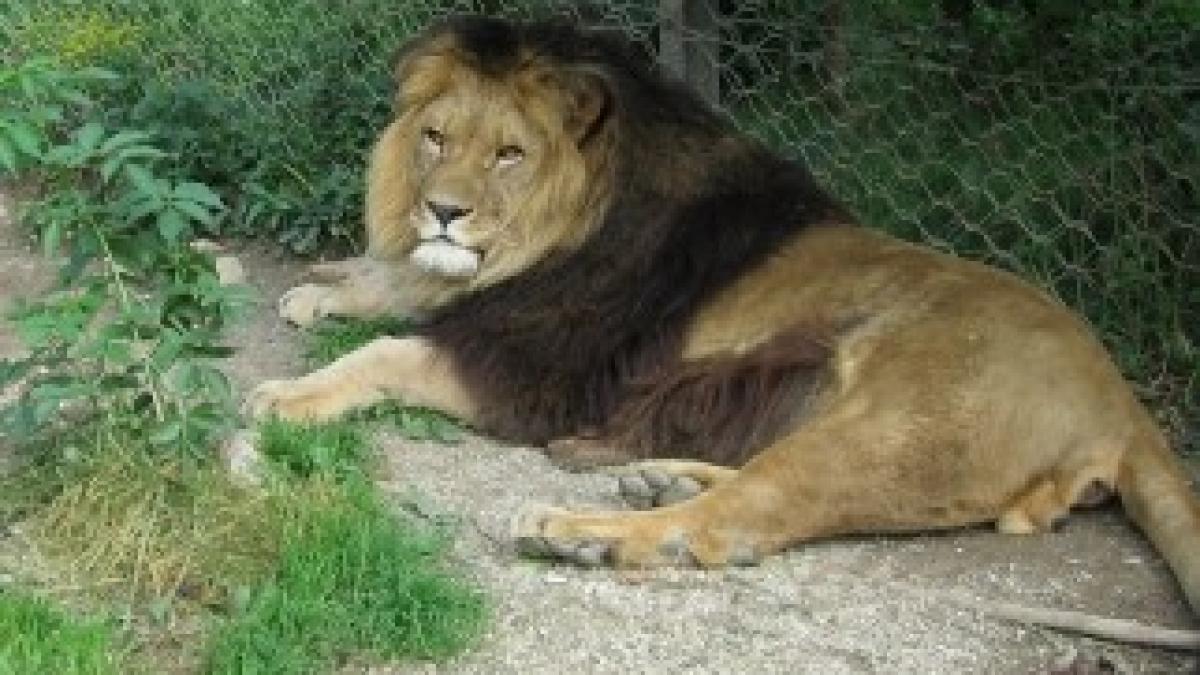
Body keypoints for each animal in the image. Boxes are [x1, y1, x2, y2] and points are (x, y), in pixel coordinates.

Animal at [248, 16, 1200, 642]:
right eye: (436, 138)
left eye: (510, 155)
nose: (441, 212)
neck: (558, 232)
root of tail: (1120, 400)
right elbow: (394, 287)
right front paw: (325, 289)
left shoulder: (535, 370)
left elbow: (387, 353)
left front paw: (288, 391)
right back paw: (655, 476)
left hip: (897, 426)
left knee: (729, 523)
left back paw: (579, 529)